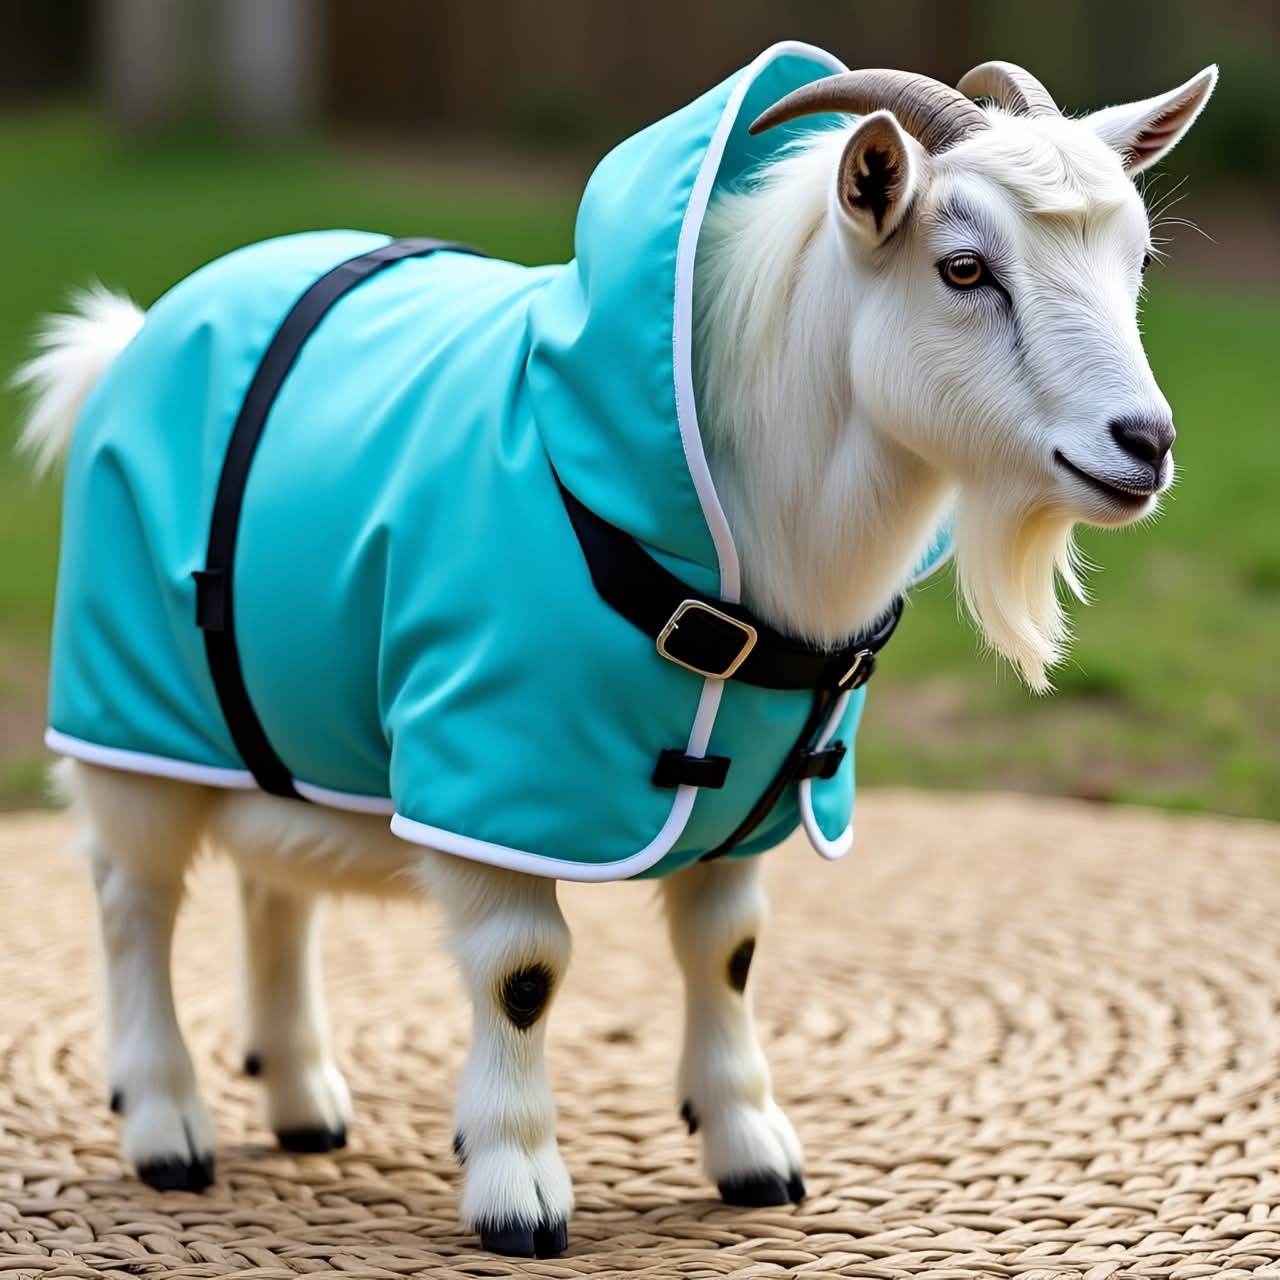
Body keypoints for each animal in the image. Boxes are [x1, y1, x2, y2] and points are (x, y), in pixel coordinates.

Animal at [15, 43, 1215, 1258]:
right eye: (964, 267)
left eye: (1134, 261)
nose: (1144, 444)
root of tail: (130, 339)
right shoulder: (489, 766)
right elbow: (522, 973)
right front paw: (517, 1188)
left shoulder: (746, 802)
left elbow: (727, 952)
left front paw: (750, 1151)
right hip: (130, 711)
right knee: (134, 900)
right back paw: (165, 1122)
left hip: (288, 721)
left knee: (275, 882)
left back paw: (304, 1100)